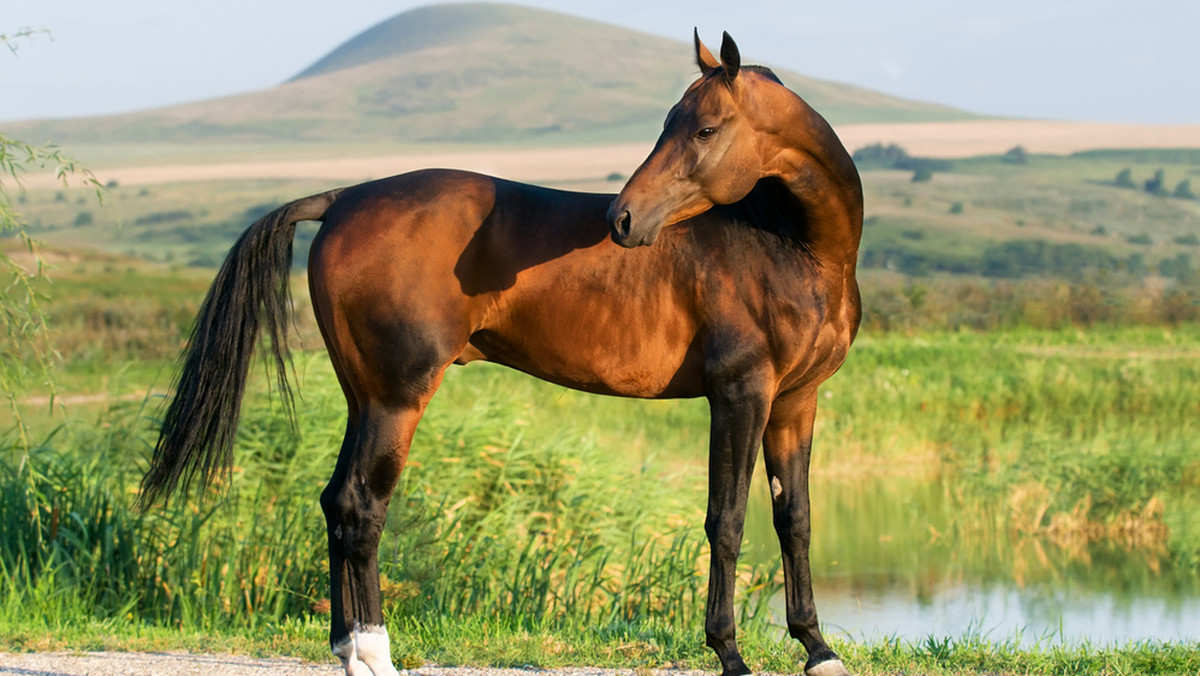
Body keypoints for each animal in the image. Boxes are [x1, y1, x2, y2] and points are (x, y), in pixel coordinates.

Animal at [140, 30, 864, 676]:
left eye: (706, 129)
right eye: (672, 123)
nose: (623, 218)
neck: (788, 242)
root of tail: (343, 198)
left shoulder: (795, 400)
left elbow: (794, 518)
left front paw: (817, 648)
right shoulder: (740, 394)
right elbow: (729, 520)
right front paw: (731, 655)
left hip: (363, 397)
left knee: (334, 503)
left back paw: (347, 648)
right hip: (396, 398)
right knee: (361, 506)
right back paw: (374, 654)